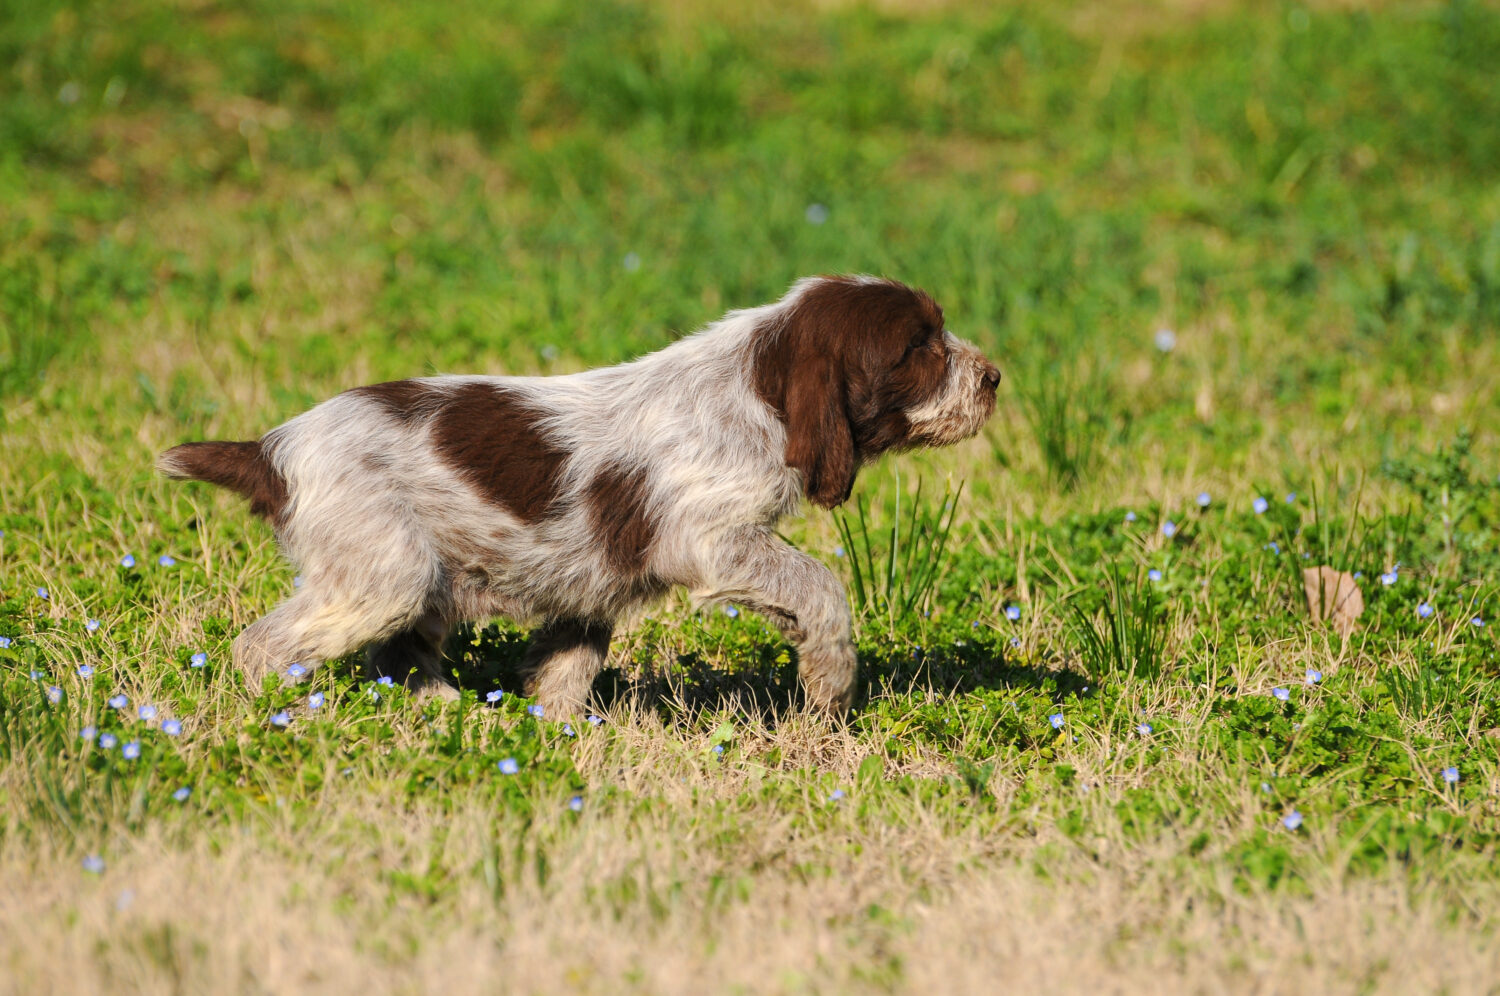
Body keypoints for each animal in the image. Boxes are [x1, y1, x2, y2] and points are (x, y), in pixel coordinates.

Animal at [158, 276, 1002, 711]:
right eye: (919, 347)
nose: (994, 378)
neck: (752, 389)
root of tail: (271, 451)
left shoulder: (591, 584)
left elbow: (565, 669)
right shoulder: (712, 539)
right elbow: (821, 587)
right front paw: (829, 686)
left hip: (417, 582)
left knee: (402, 659)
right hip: (381, 576)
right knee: (261, 647)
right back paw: (275, 716)